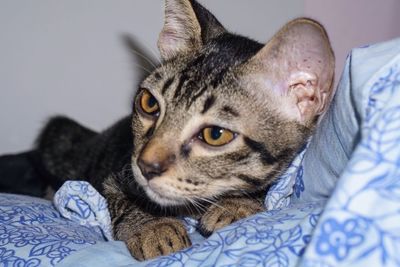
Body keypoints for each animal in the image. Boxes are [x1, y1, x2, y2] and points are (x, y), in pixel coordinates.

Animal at [35, 0, 334, 262]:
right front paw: (153, 228)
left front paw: (238, 204)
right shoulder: (114, 175)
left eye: (215, 135)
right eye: (149, 103)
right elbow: (125, 199)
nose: (145, 165)